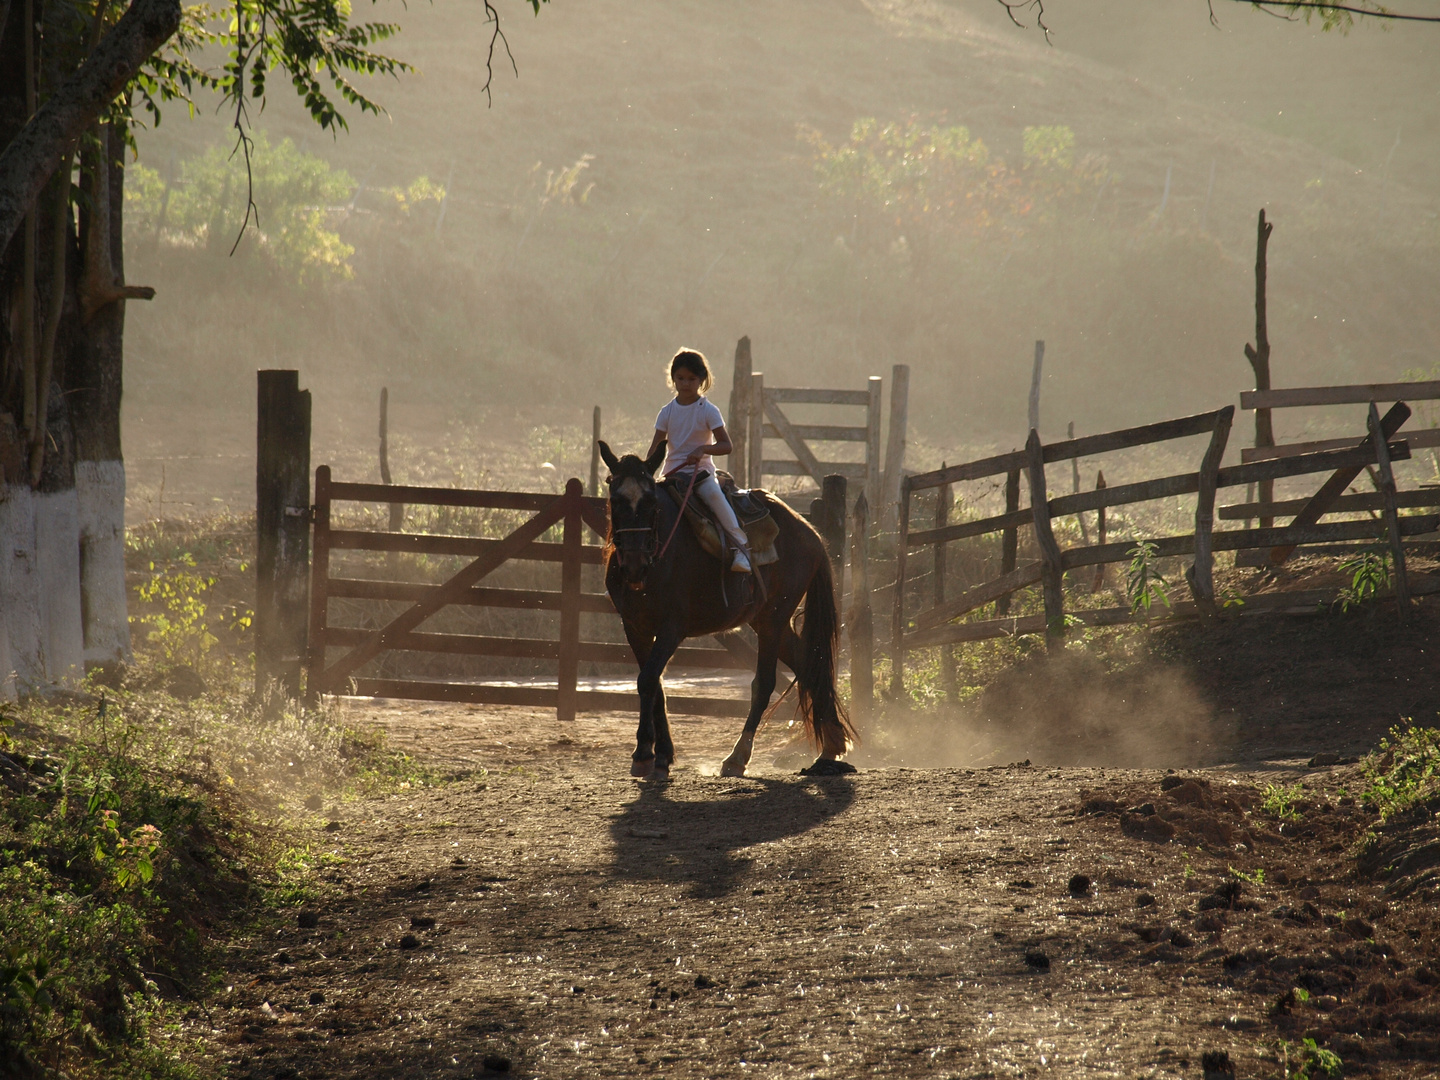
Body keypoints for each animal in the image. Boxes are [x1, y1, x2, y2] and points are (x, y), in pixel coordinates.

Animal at [596, 443, 852, 783]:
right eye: (615, 500)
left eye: (650, 501)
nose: (635, 566)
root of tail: (809, 532)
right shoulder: (634, 627)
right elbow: (656, 685)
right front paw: (662, 754)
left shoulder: (671, 629)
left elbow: (648, 680)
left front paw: (645, 755)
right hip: (767, 621)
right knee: (809, 664)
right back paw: (830, 747)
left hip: (773, 620)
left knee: (764, 684)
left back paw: (737, 757)